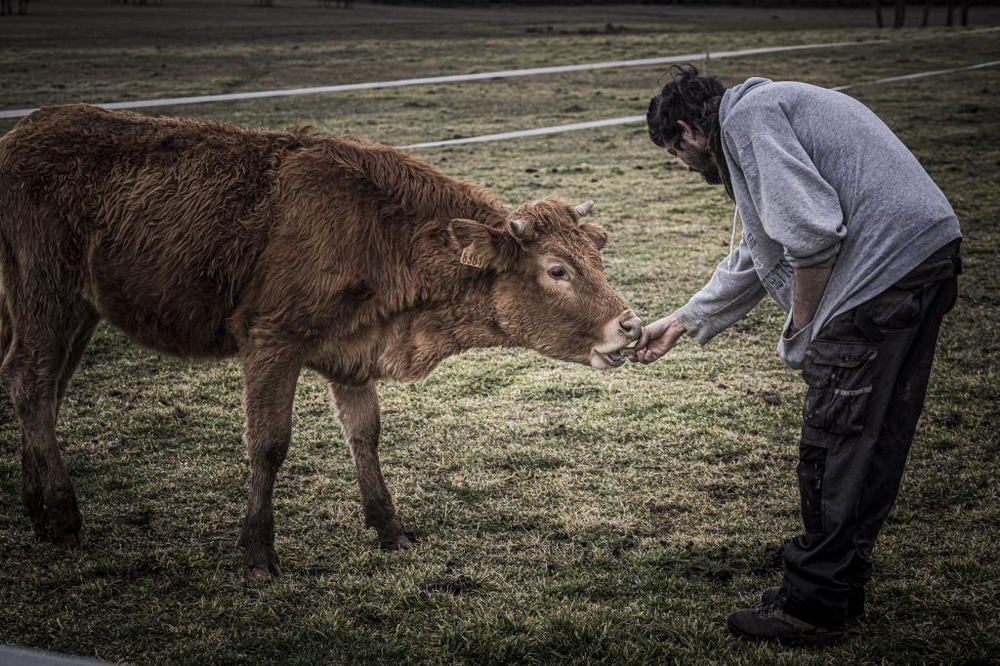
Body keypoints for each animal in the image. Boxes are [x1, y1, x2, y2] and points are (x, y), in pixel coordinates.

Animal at [0, 104, 640, 576]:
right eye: (557, 269)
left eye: (597, 254)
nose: (630, 326)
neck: (376, 230)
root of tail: (23, 132)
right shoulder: (271, 343)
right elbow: (268, 444)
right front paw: (258, 553)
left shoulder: (353, 358)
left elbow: (365, 437)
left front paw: (390, 530)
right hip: (46, 295)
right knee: (32, 382)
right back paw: (64, 517)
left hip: (79, 310)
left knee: (43, 391)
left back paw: (37, 511)